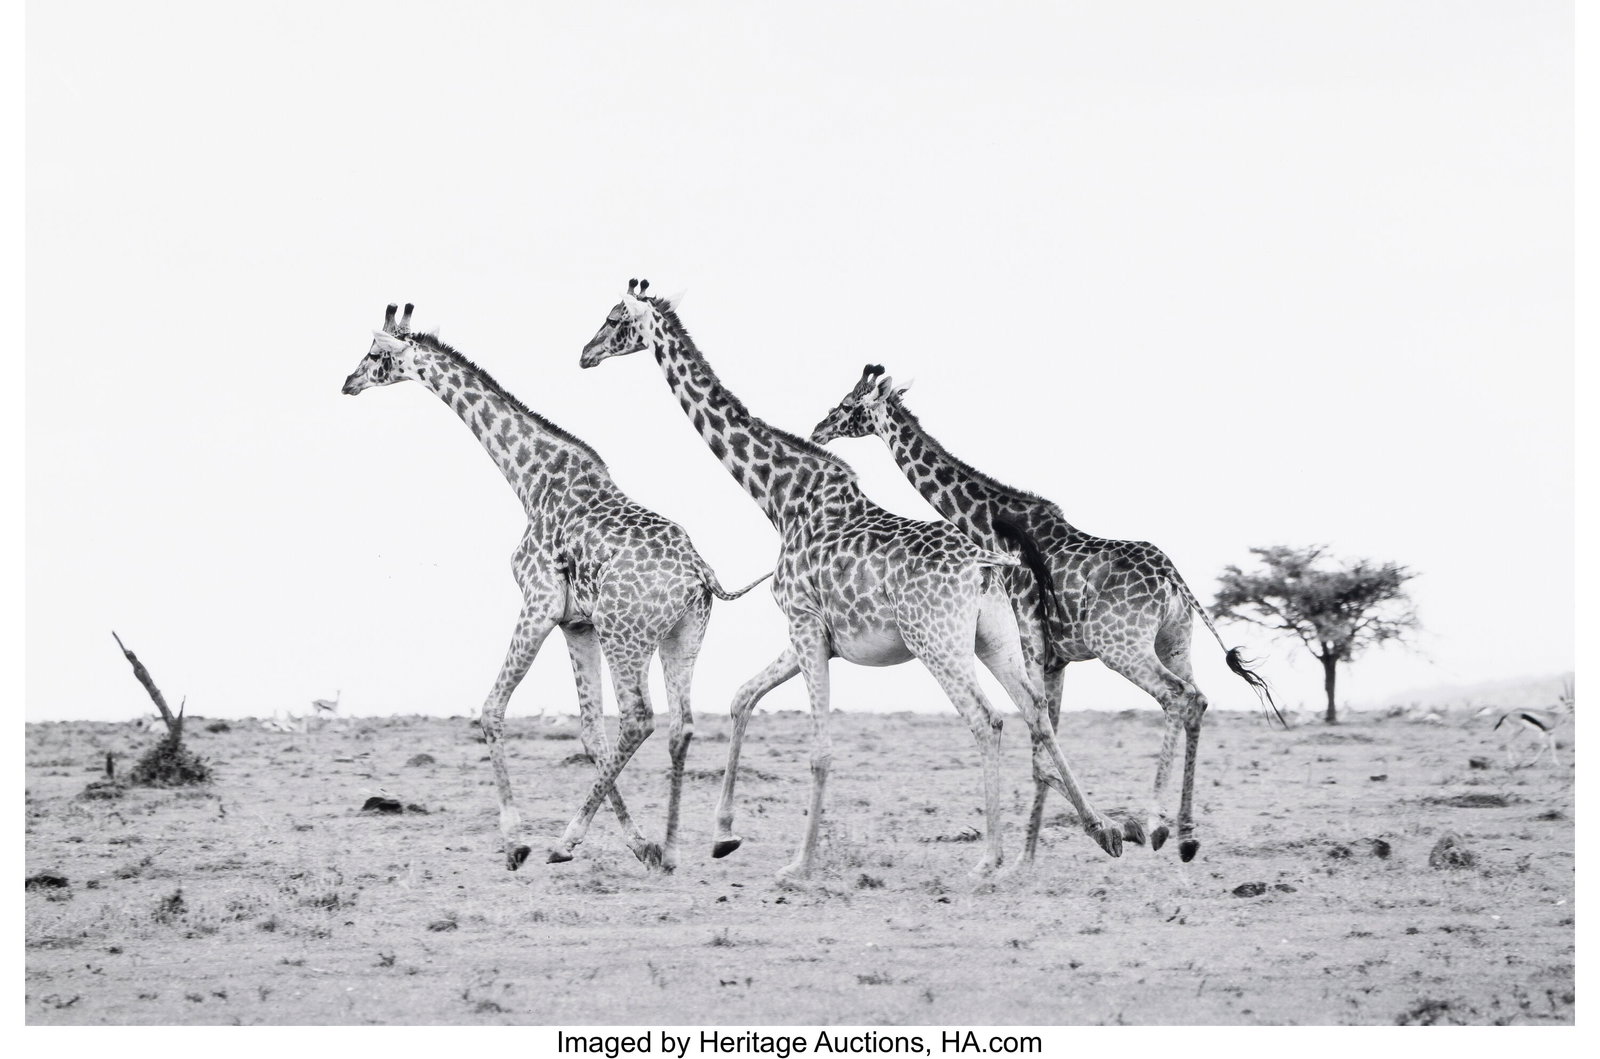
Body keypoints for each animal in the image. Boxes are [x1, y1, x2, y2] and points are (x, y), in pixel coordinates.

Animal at [342, 303, 768, 872]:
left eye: (375, 353)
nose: (347, 382)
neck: (530, 479)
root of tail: (700, 573)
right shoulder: (576, 624)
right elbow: (589, 732)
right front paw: (640, 843)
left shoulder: (539, 604)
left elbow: (492, 709)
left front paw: (516, 842)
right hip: (683, 637)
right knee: (681, 724)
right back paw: (671, 849)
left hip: (625, 635)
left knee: (640, 719)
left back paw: (566, 840)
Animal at [579, 281, 1131, 880]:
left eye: (615, 319)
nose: (585, 354)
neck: (781, 500)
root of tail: (985, 564)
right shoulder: (813, 635)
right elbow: (742, 698)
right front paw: (724, 835)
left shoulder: (803, 624)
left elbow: (819, 748)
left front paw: (798, 864)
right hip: (995, 638)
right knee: (1037, 715)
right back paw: (1104, 830)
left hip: (937, 642)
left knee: (988, 720)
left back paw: (990, 859)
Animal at [811, 365, 1278, 862]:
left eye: (848, 404)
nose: (819, 429)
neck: (988, 523)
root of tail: (1172, 576)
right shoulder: (1055, 660)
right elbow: (1046, 744)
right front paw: (1031, 859)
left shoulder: (1030, 646)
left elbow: (1039, 751)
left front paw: (1067, 845)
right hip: (1174, 640)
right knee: (1199, 698)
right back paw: (1187, 835)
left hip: (1122, 647)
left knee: (1177, 697)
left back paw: (1157, 824)